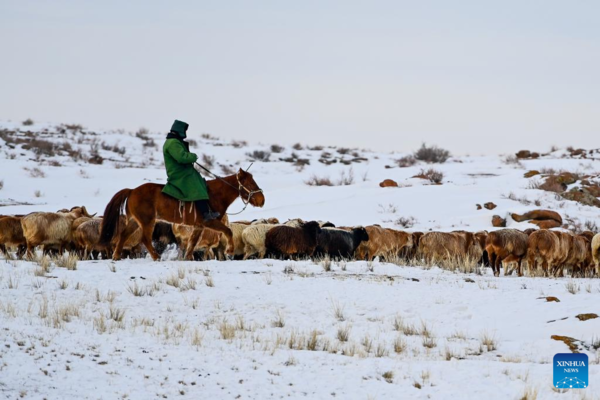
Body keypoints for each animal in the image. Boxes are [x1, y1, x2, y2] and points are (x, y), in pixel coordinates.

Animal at [99, 168, 264, 260]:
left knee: (124, 235)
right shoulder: (210, 222)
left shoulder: (198, 226)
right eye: (250, 183)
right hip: (147, 221)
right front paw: (229, 251)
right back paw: (156, 256)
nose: (262, 200)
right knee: (145, 239)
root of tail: (132, 190)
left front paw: (188, 257)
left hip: (135, 221)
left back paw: (116, 255)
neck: (215, 194)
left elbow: (192, 242)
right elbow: (228, 231)